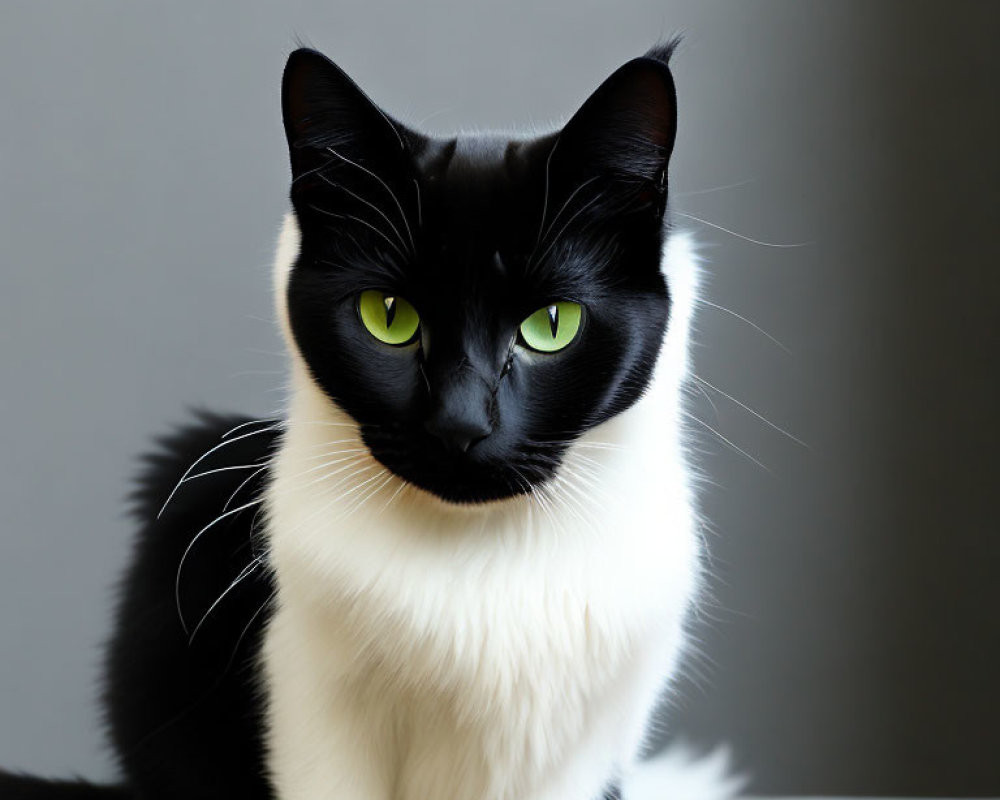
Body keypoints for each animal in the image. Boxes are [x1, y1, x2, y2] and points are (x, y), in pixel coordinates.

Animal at [0, 42, 740, 800]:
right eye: (388, 317)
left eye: (551, 326)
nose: (458, 426)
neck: (473, 565)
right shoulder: (314, 703)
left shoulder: (578, 751)